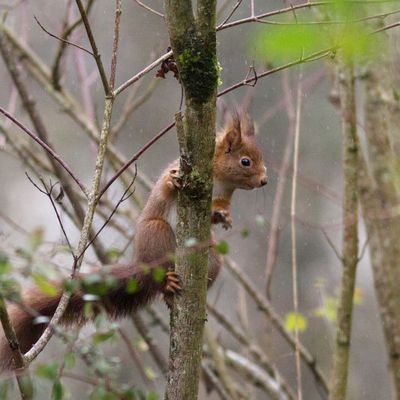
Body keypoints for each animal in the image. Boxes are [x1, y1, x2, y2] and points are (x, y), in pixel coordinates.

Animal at [0, 110, 268, 372]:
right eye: (246, 161)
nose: (264, 181)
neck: (219, 178)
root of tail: (141, 264)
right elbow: (166, 187)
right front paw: (173, 181)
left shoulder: (223, 195)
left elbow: (219, 208)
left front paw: (224, 216)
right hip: (156, 233)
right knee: (159, 270)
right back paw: (168, 283)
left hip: (211, 259)